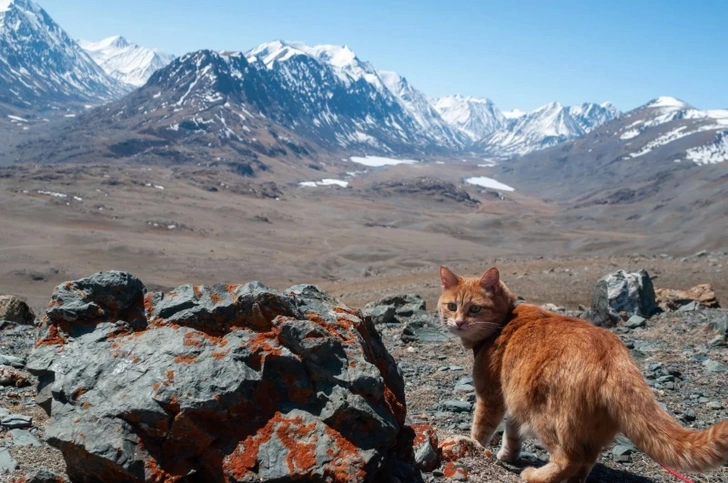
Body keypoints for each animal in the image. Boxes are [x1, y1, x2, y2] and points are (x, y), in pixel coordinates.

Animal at [438, 264, 728, 483]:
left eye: (474, 308)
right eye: (451, 306)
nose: (459, 322)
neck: (506, 319)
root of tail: (614, 355)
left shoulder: (492, 396)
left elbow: (481, 429)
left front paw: (472, 446)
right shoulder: (514, 399)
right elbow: (512, 431)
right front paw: (507, 455)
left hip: (545, 414)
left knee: (569, 458)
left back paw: (535, 476)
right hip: (586, 425)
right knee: (586, 460)